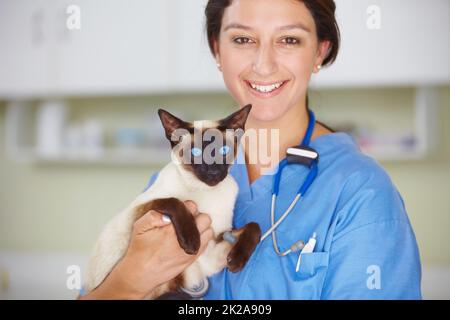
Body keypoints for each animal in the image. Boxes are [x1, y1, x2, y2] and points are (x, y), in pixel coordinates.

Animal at [84, 105, 260, 300]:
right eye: (195, 153)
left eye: (223, 150)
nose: (213, 172)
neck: (204, 190)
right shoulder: (140, 210)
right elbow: (174, 201)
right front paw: (191, 242)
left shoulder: (215, 244)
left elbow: (255, 226)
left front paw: (236, 261)